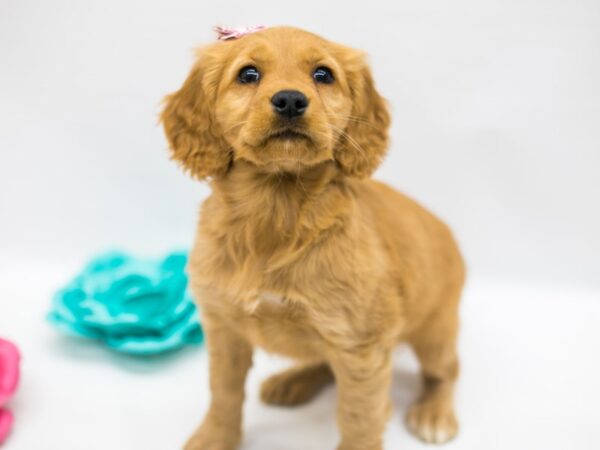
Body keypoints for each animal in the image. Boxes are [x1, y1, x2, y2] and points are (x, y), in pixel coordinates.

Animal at [162, 25, 466, 450]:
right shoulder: (223, 327)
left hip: (436, 329)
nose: (290, 99)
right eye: (248, 74)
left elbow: (359, 417)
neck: (277, 210)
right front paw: (214, 438)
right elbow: (223, 392)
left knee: (447, 370)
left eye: (323, 74)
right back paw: (293, 381)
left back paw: (434, 413)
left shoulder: (361, 345)